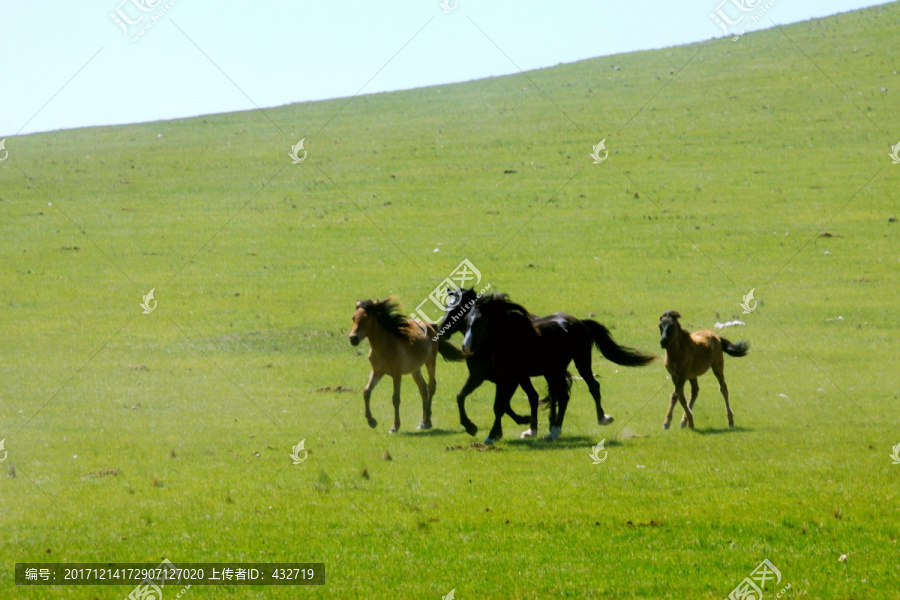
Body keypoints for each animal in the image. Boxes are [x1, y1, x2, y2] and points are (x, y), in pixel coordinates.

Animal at [350, 298, 468, 432]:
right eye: (353, 318)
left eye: (366, 318)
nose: (353, 338)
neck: (384, 347)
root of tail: (430, 326)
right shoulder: (377, 371)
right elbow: (366, 391)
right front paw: (372, 421)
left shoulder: (396, 374)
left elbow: (395, 398)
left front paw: (394, 426)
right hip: (415, 369)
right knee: (423, 388)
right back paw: (423, 422)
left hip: (430, 361)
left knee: (431, 386)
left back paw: (427, 422)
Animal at [446, 292, 656, 442]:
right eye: (467, 320)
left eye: (480, 322)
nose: (466, 347)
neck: (508, 340)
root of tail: (578, 322)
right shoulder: (486, 377)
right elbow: (462, 396)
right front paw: (475, 427)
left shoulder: (510, 379)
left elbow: (500, 406)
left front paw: (493, 435)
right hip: (553, 371)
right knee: (560, 396)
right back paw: (551, 429)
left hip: (579, 362)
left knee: (586, 388)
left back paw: (592, 421)